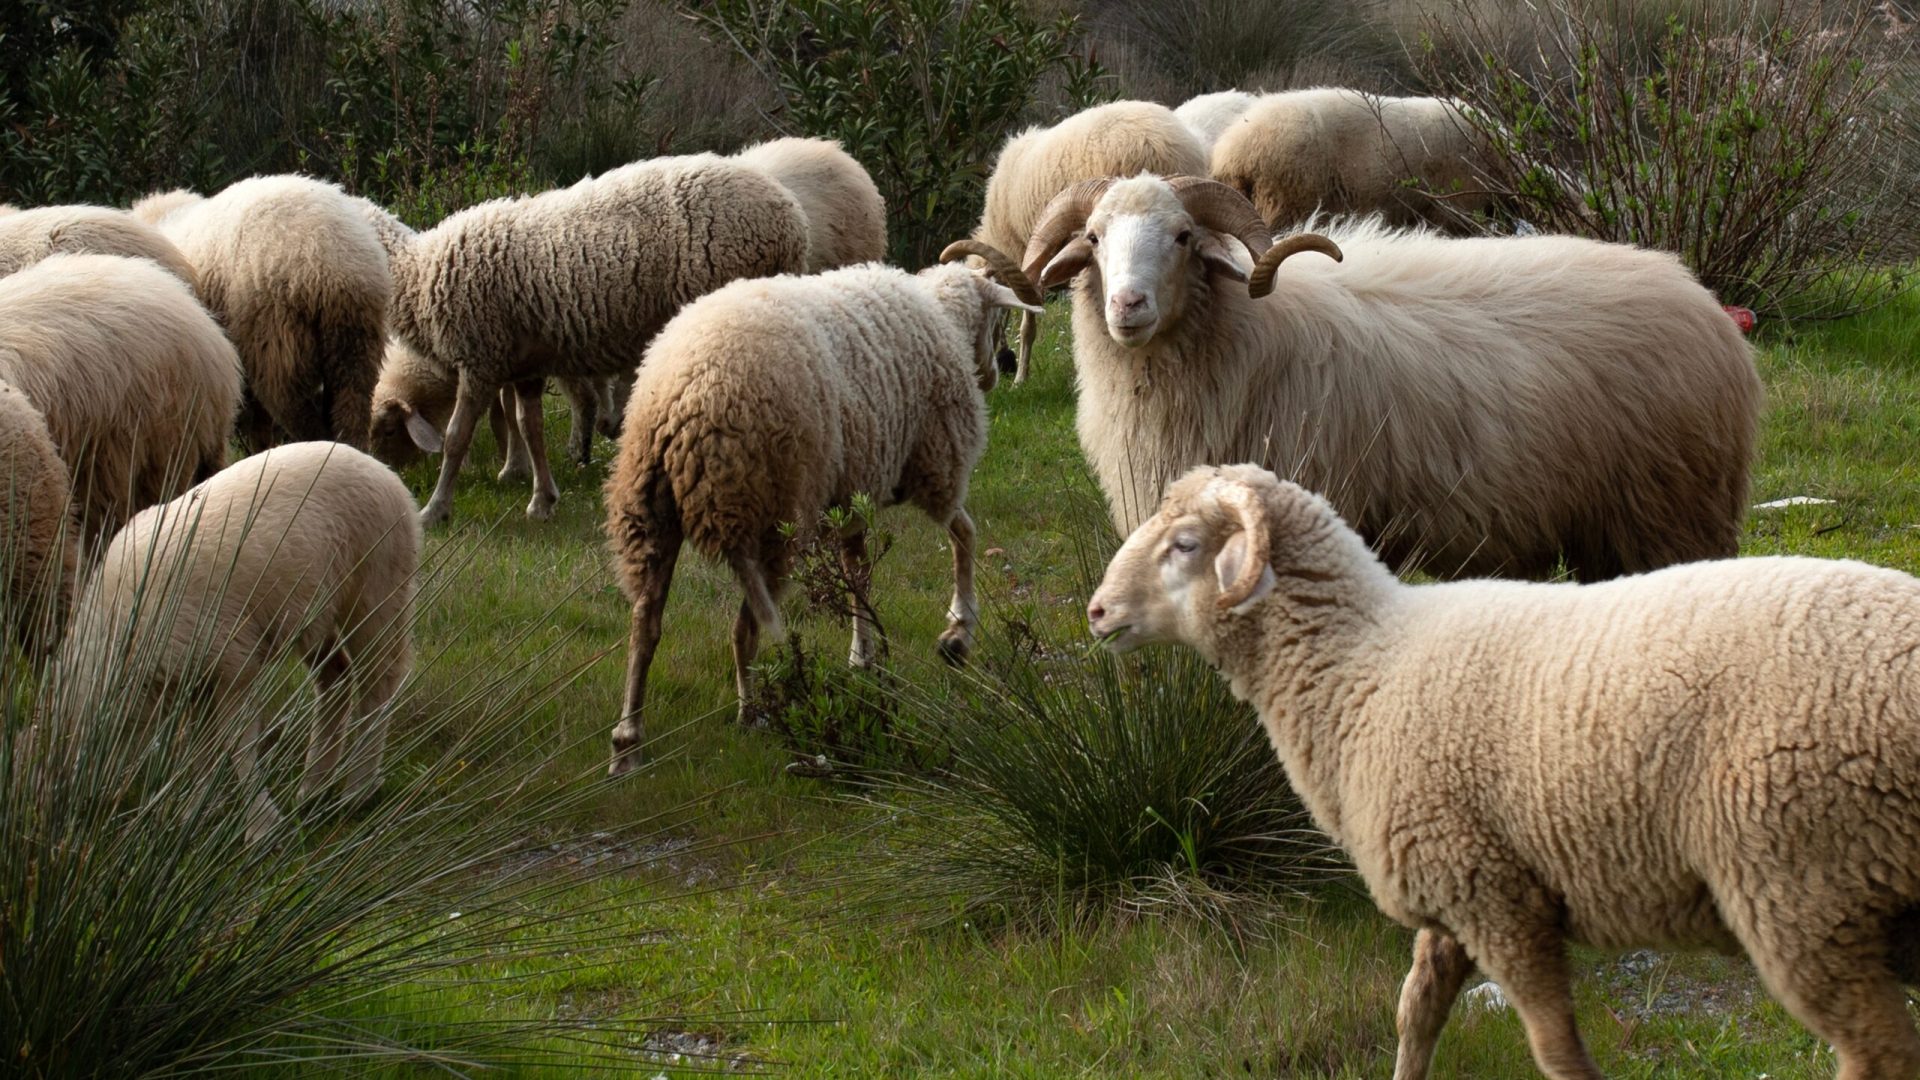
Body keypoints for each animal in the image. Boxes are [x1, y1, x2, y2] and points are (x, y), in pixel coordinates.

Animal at [60, 441, 419, 840]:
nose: (80, 808)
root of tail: (381, 468)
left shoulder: (232, 662)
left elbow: (237, 745)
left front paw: (261, 827)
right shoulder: (193, 675)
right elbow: (200, 742)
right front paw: (195, 811)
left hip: (376, 589)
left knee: (378, 682)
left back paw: (359, 788)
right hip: (313, 611)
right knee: (336, 679)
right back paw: (314, 786)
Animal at [396, 153, 811, 527]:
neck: (416, 271)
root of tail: (791, 220)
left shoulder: (479, 360)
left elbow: (456, 436)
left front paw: (434, 510)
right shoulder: (522, 361)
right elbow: (530, 427)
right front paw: (541, 500)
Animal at [602, 246, 1041, 774]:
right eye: (997, 316)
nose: (996, 374)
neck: (944, 318)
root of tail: (677, 399)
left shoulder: (853, 491)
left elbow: (856, 571)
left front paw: (862, 658)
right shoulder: (934, 462)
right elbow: (965, 535)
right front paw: (957, 634)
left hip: (646, 511)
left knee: (645, 626)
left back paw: (627, 742)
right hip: (770, 513)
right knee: (743, 629)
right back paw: (751, 713)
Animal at [1019, 174, 1761, 581]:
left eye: (1180, 236)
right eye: (1093, 237)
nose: (1127, 306)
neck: (1249, 335)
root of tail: (1701, 300)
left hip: (1671, 514)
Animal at [1089, 462, 1920, 1080]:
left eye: (1185, 544)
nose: (1097, 612)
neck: (1361, 667)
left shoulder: (1499, 897)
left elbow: (1554, 1049)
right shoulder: (1451, 886)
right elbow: (1415, 1012)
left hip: (1804, 884)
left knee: (1877, 1053)